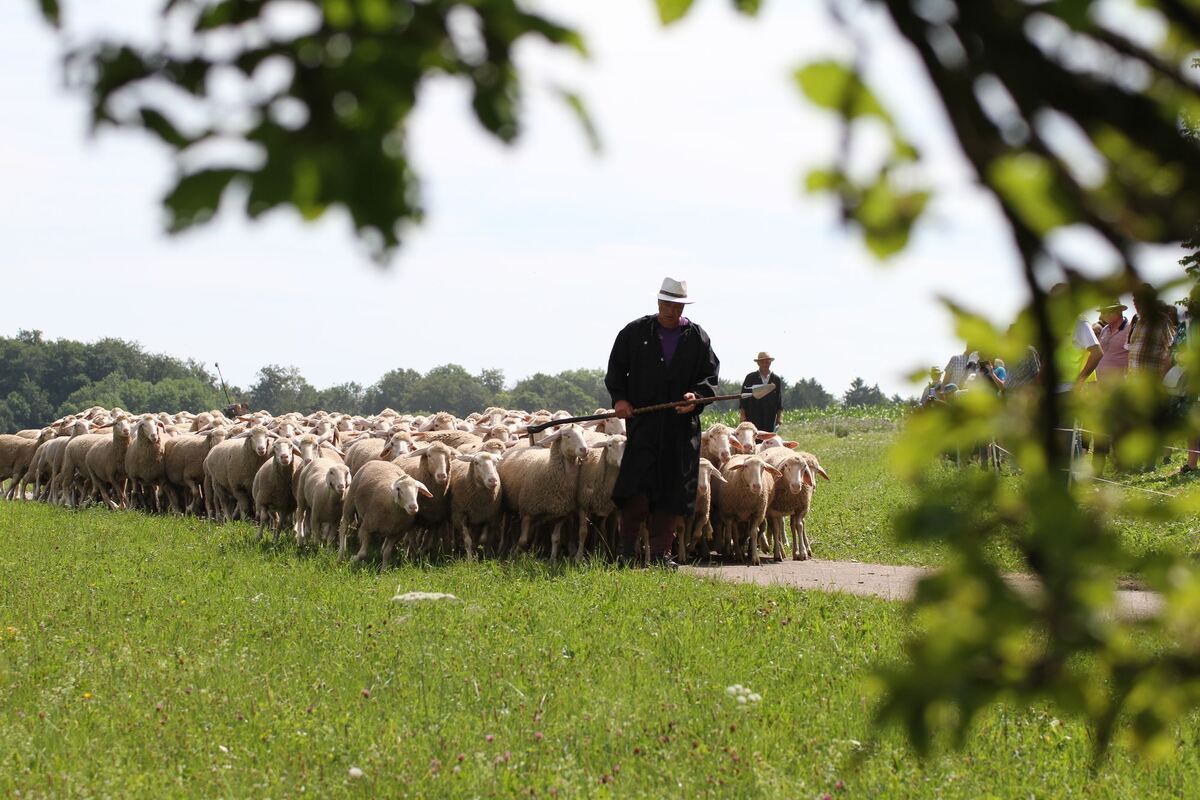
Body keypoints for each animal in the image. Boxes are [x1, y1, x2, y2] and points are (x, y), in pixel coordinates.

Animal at [496, 424, 590, 563]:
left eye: (583, 433)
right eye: (566, 435)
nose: (585, 450)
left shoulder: (560, 513)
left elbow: (555, 539)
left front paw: (552, 560)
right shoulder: (528, 511)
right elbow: (523, 540)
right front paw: (515, 558)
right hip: (506, 505)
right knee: (504, 527)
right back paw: (501, 549)